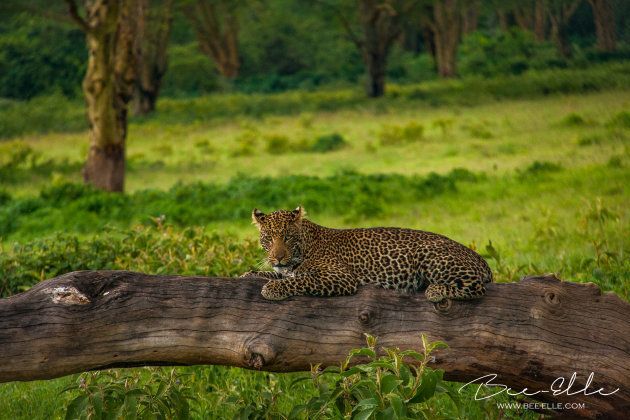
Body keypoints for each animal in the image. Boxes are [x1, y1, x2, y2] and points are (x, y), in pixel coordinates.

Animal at [242, 207, 494, 302]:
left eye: (287, 237)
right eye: (268, 238)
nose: (277, 257)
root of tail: (479, 258)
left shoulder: (340, 277)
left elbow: (301, 280)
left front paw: (273, 289)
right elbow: (275, 274)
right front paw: (249, 274)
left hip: (432, 256)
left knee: (476, 288)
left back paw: (435, 290)